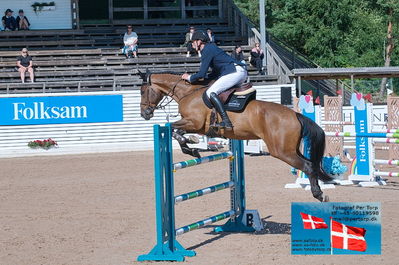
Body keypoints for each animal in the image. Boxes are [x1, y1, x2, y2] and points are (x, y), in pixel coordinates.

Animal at [139, 71, 332, 201]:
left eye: (142, 91)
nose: (144, 114)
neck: (188, 93)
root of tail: (295, 115)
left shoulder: (194, 122)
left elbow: (172, 129)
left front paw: (190, 147)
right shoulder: (197, 127)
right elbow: (177, 131)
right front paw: (191, 147)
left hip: (282, 151)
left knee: (308, 166)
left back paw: (319, 194)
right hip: (291, 149)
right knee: (311, 165)